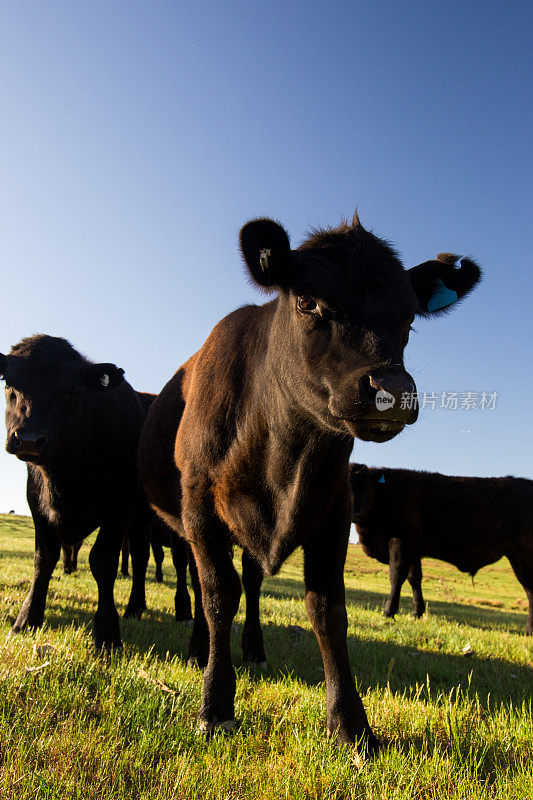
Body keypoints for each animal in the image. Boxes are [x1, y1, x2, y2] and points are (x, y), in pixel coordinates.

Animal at [1, 334, 150, 648]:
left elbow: (103, 560)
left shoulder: (120, 507)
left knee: (141, 557)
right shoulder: (38, 505)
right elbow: (44, 559)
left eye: (71, 389)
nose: (29, 439)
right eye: (8, 383)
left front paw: (107, 633)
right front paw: (26, 620)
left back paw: (134, 607)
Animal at [138, 212, 482, 752]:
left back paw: (254, 648)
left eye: (409, 319)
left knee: (253, 581)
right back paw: (198, 649)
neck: (282, 456)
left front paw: (350, 724)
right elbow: (217, 596)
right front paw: (214, 706)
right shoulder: (200, 508)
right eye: (307, 302)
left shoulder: (334, 509)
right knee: (204, 583)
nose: (392, 390)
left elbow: (327, 609)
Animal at [350, 466, 532, 636]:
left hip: (523, 554)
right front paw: (417, 613)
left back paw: (529, 629)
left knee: (529, 588)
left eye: (365, 487)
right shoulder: (414, 550)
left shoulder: (400, 541)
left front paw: (388, 612)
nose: (354, 511)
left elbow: (396, 575)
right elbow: (414, 578)